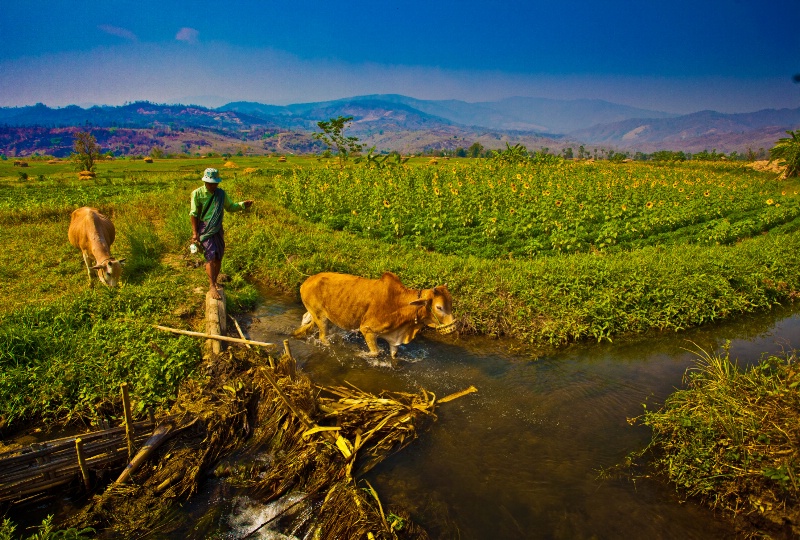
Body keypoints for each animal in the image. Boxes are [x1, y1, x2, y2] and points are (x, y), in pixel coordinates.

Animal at [294, 270, 456, 362]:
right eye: (439, 307)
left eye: (451, 303)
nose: (453, 328)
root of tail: (306, 282)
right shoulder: (367, 330)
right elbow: (375, 353)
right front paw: (359, 354)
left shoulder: (394, 339)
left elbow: (394, 355)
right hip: (321, 318)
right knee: (323, 337)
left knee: (306, 318)